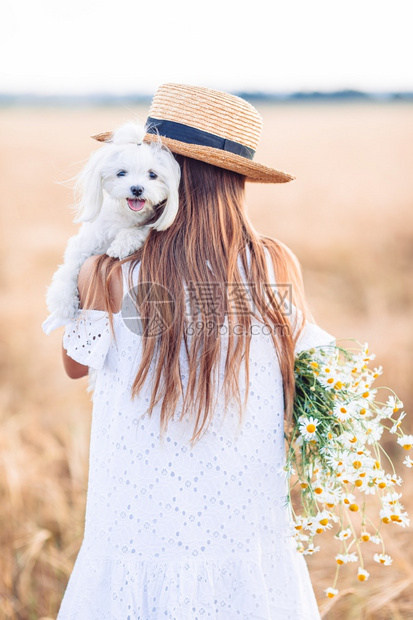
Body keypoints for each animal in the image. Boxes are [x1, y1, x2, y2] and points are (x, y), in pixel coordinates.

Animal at [41, 122, 180, 334]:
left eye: (152, 174)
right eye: (121, 173)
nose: (137, 189)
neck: (126, 216)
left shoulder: (147, 224)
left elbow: (140, 230)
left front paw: (121, 245)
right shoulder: (86, 241)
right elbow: (69, 267)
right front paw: (63, 301)